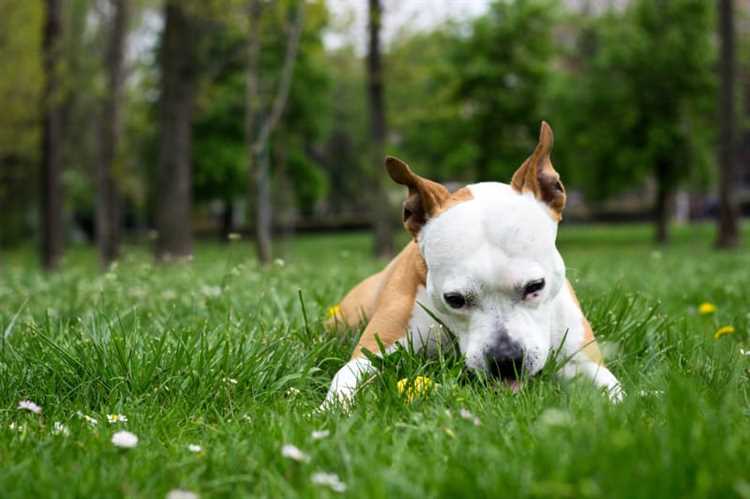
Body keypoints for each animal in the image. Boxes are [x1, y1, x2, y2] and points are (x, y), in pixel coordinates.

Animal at [324, 123, 624, 408]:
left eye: (536, 286)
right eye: (454, 300)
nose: (506, 359)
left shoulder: (584, 360)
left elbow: (615, 394)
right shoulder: (371, 351)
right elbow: (345, 377)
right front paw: (328, 411)